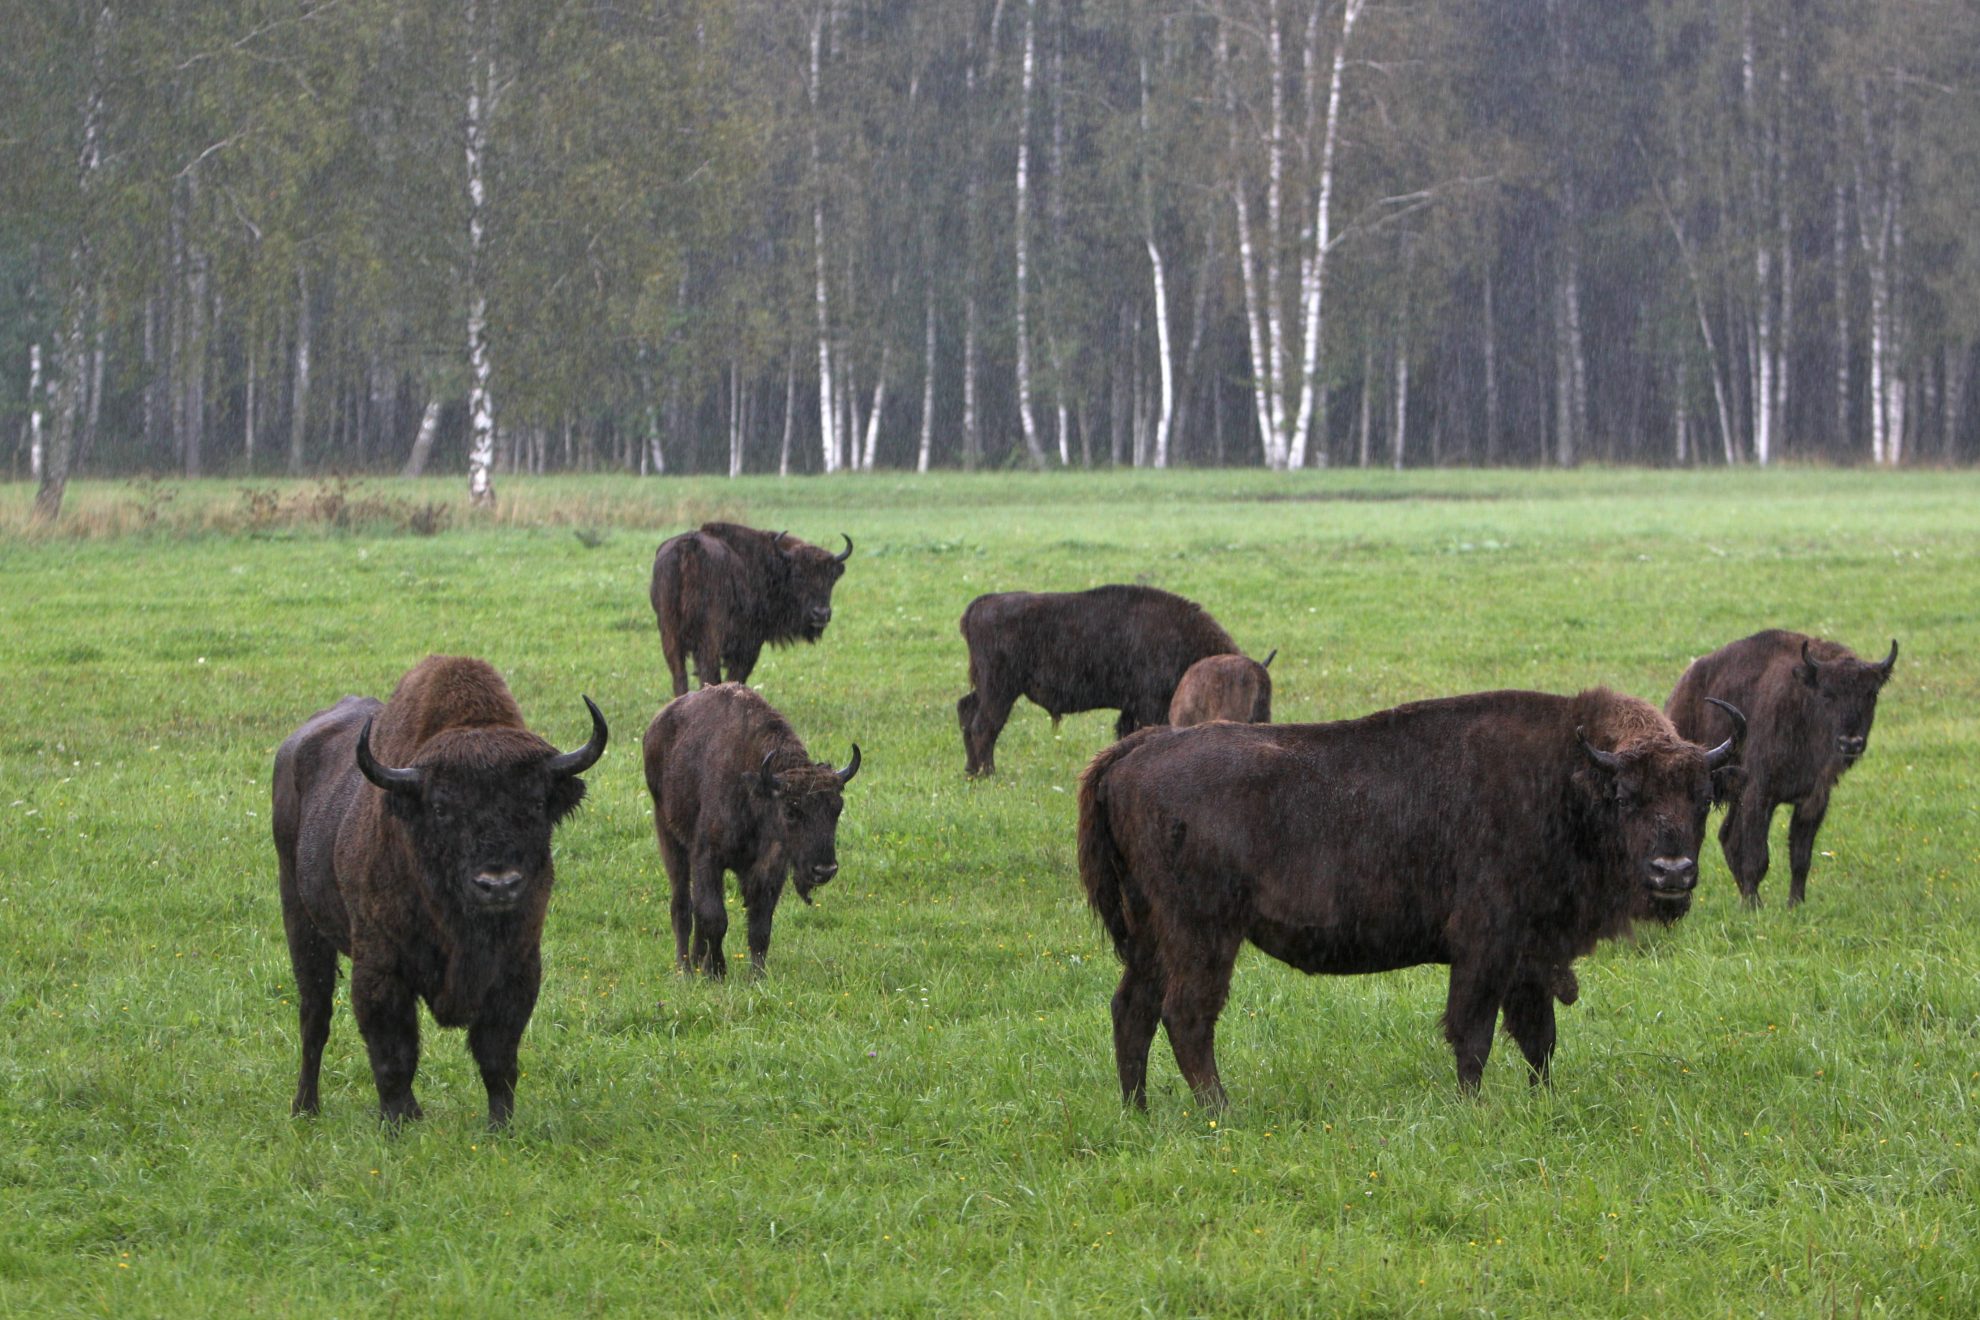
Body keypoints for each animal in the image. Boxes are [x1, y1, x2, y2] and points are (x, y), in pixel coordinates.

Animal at [271, 657, 605, 1131]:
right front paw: (399, 1124)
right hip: (301, 920)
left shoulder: (518, 969)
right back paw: (305, 1108)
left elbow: (497, 1057)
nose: (498, 884)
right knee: (314, 1017)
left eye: (537, 803)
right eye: (441, 807)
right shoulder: (380, 969)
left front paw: (500, 1128)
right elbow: (393, 1057)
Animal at [653, 522, 855, 696]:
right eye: (798, 575)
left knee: (680, 676)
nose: (820, 613)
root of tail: (689, 547)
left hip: (670, 635)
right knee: (708, 673)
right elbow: (736, 676)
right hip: (710, 637)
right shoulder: (749, 645)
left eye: (831, 577)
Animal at [954, 585, 1235, 779]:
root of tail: (981, 604)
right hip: (1000, 689)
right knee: (985, 725)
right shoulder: (1151, 705)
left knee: (967, 711)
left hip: (987, 688)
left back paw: (971, 771)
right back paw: (988, 774)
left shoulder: (1132, 708)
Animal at [1077, 688, 1742, 1108]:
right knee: (1186, 1015)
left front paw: (1544, 1103)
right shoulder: (1486, 947)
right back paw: (1222, 1112)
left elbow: (1539, 1037)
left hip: (1150, 935)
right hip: (1202, 933)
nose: (1673, 872)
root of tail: (1137, 750)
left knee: (1132, 1009)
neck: (1568, 778)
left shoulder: (1528, 954)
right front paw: (1473, 1109)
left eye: (1703, 797)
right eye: (1626, 797)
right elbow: (1472, 1033)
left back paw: (1138, 1111)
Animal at [1671, 633, 1900, 910]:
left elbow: (1800, 858)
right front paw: (1753, 908)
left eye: (1871, 693)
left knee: (1728, 837)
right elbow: (1757, 857)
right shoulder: (1759, 795)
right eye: (1827, 694)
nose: (1851, 742)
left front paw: (1795, 904)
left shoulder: (1813, 800)